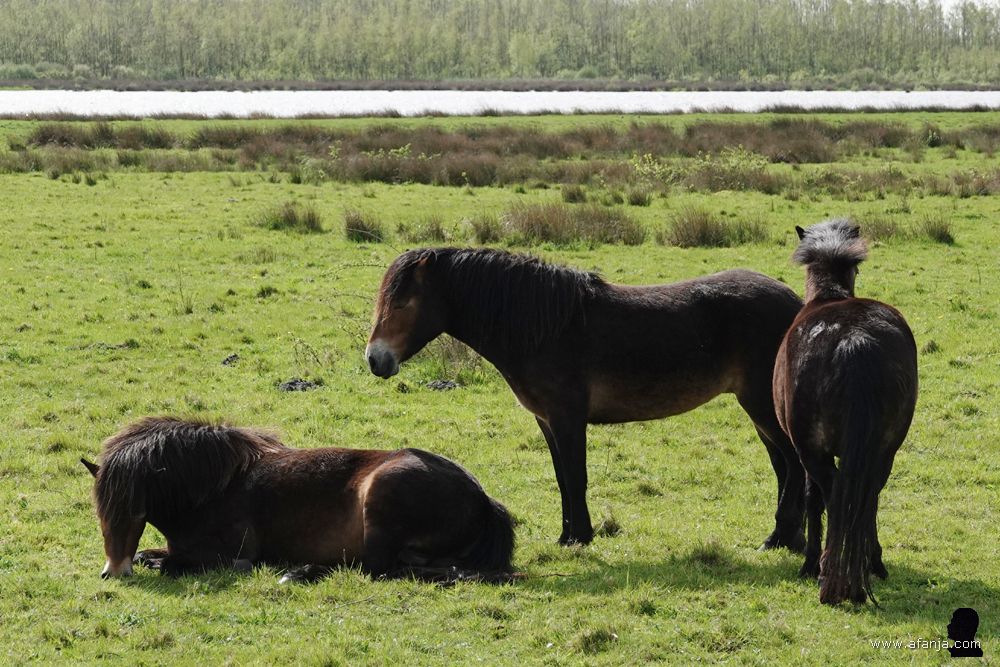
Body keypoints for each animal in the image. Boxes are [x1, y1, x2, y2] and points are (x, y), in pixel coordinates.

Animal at [82, 417, 515, 583]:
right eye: (100, 514)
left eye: (136, 512)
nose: (113, 573)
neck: (214, 490)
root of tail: (481, 497)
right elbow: (150, 555)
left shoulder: (229, 554)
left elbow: (173, 564)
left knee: (376, 569)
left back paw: (299, 571)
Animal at [365, 247, 806, 549]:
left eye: (402, 303)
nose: (375, 359)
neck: (545, 328)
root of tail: (797, 304)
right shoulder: (547, 421)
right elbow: (562, 477)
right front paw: (567, 536)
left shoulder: (567, 418)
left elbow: (577, 476)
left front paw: (580, 536)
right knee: (783, 467)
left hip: (762, 407)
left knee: (794, 465)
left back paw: (781, 539)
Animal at [773, 219, 917, 604]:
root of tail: (855, 340)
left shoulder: (806, 452)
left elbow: (812, 501)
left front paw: (810, 562)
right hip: (885, 449)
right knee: (869, 496)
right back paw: (871, 564)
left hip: (813, 452)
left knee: (836, 496)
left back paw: (828, 571)